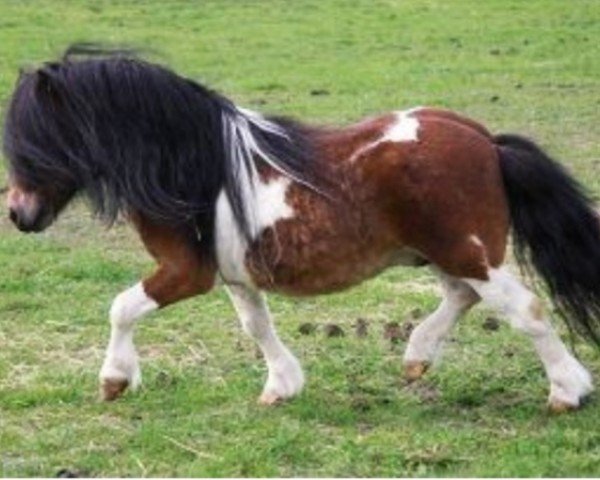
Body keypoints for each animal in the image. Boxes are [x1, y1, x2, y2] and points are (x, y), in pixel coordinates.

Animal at [4, 47, 600, 410]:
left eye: (36, 141)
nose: (18, 215)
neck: (191, 163)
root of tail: (484, 140)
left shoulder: (185, 271)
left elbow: (122, 307)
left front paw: (113, 379)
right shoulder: (235, 276)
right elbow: (256, 326)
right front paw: (281, 386)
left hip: (468, 252)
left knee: (524, 310)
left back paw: (567, 392)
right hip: (448, 253)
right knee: (463, 297)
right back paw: (416, 357)